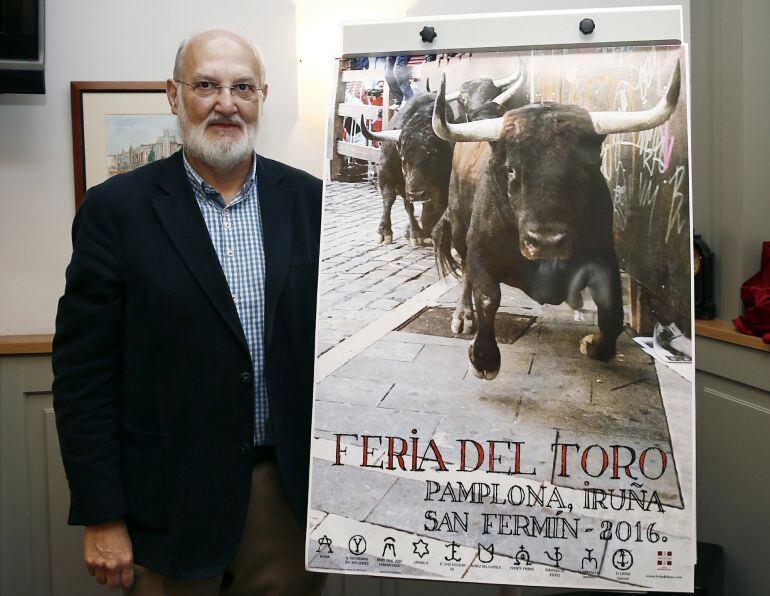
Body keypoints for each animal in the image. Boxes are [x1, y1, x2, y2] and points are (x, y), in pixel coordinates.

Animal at [360, 67, 520, 247]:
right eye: (402, 156)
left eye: (434, 154)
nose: (417, 193)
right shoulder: (385, 171)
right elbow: (390, 198)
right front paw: (385, 232)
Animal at [428, 59, 680, 378]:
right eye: (510, 169)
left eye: (589, 165)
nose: (546, 242)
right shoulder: (481, 250)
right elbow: (487, 296)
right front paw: (484, 358)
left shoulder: (605, 256)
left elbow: (612, 311)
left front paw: (595, 346)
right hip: (460, 226)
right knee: (465, 273)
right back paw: (462, 315)